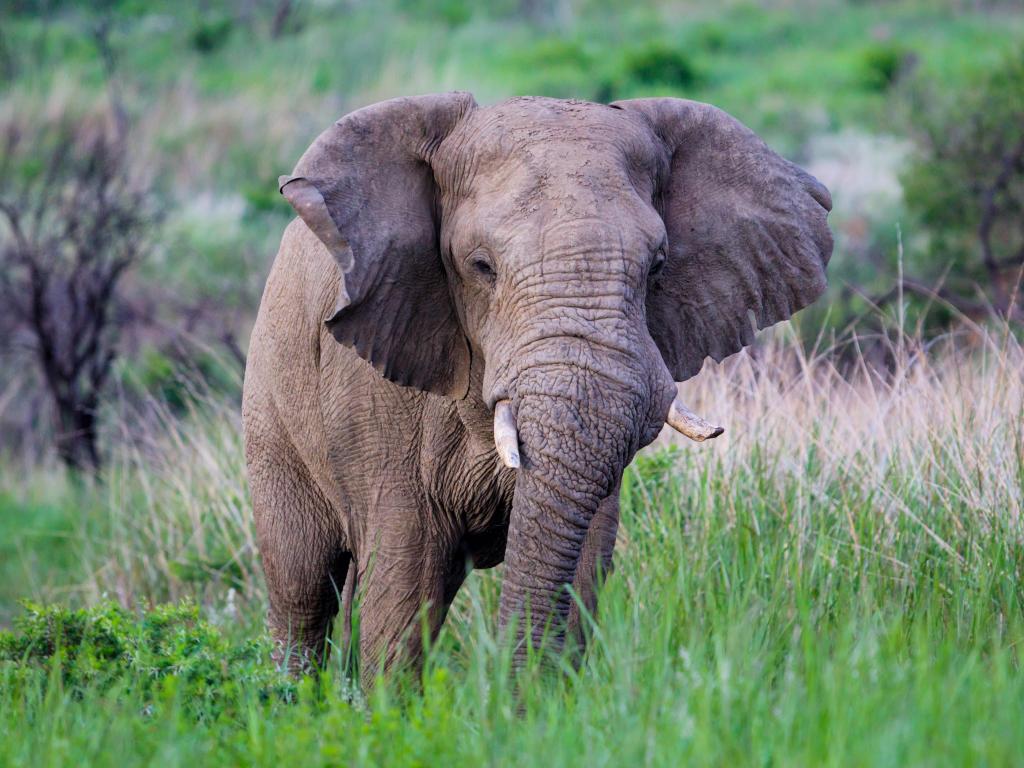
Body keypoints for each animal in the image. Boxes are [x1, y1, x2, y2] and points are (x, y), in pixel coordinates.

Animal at [243, 91, 835, 684]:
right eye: (481, 266)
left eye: (658, 266)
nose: (501, 689)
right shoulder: (375, 395)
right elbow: (406, 575)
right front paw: (390, 705)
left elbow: (585, 559)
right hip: (270, 408)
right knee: (302, 586)